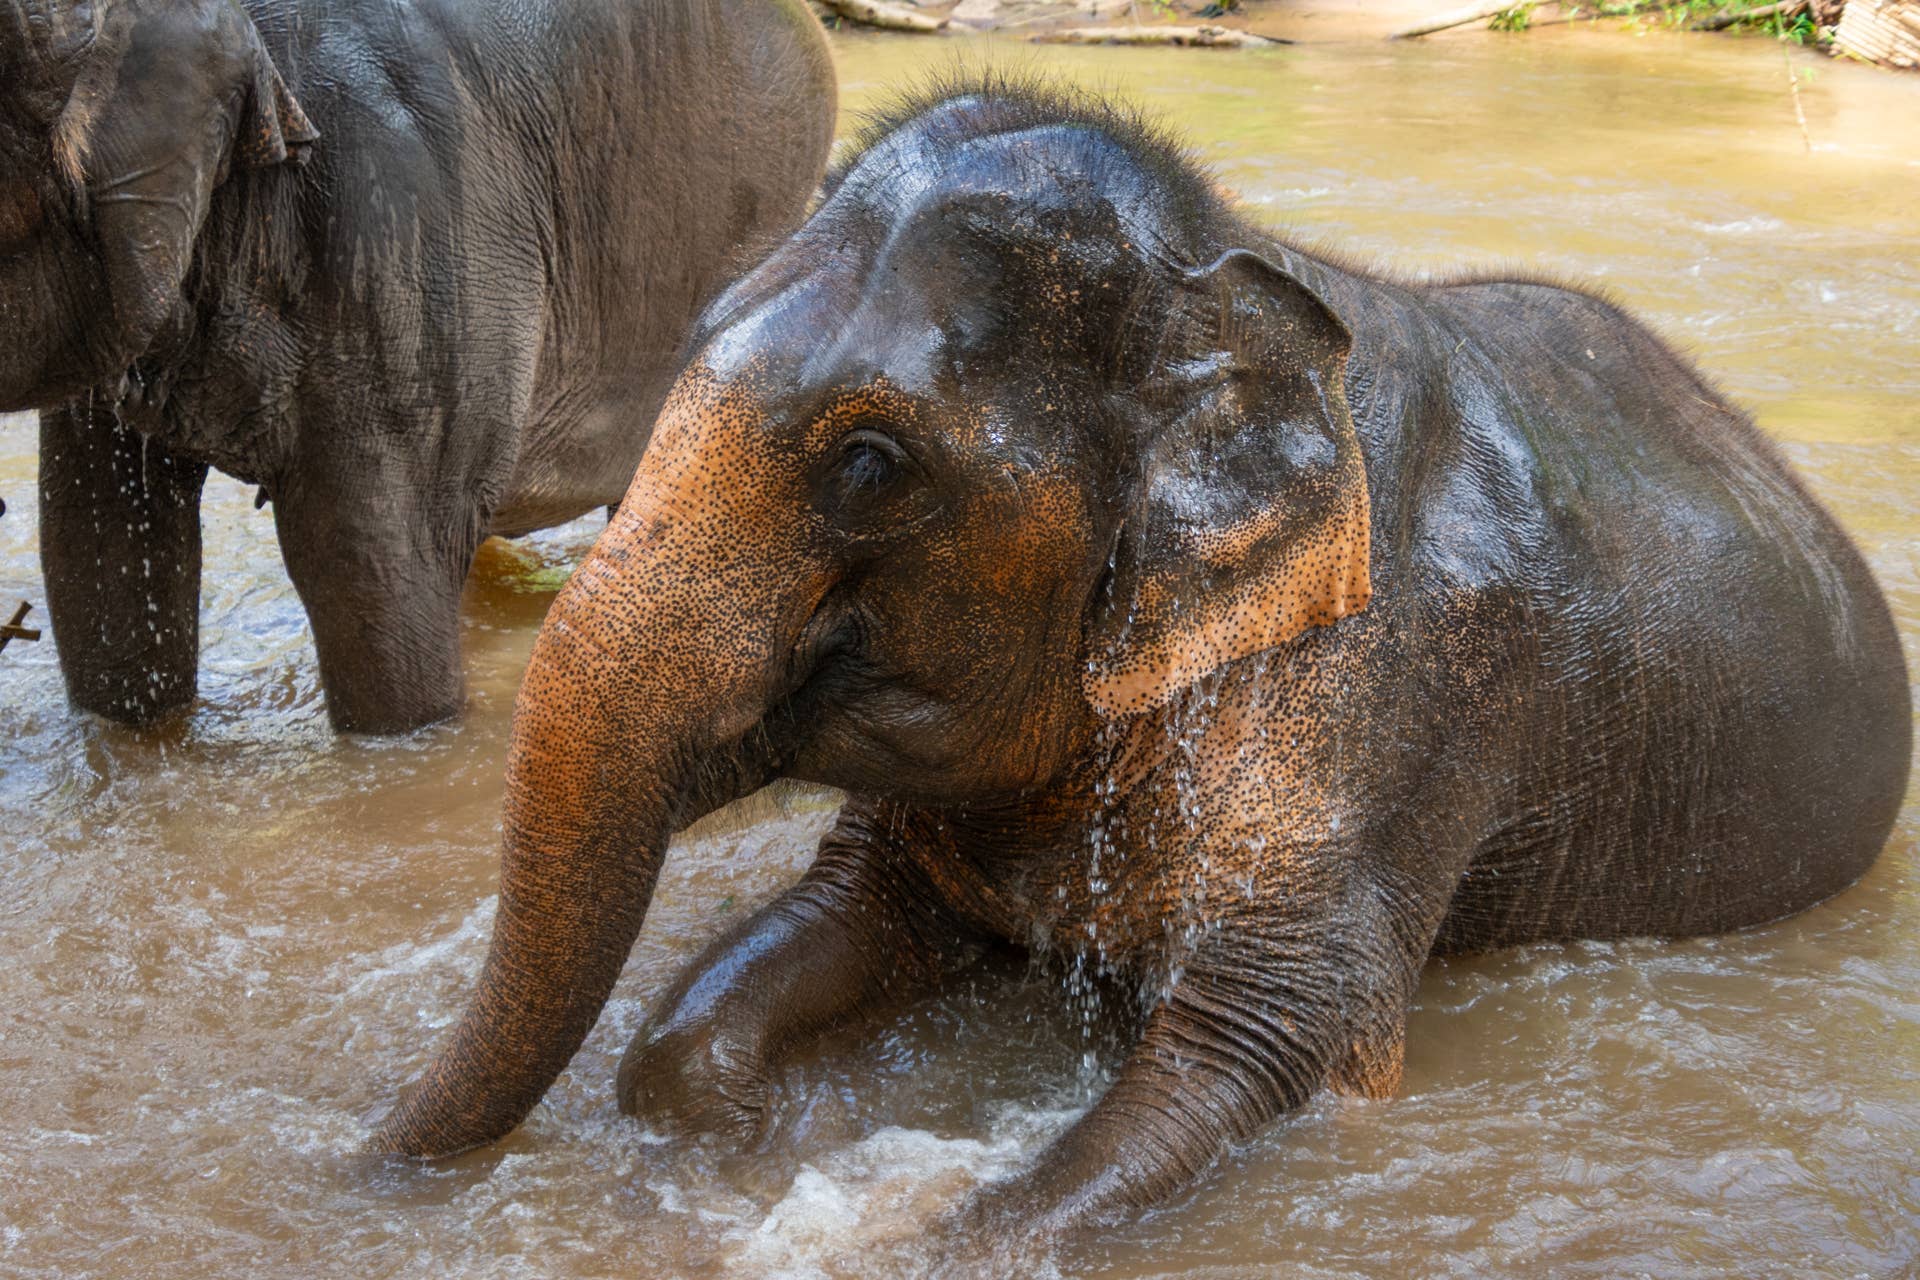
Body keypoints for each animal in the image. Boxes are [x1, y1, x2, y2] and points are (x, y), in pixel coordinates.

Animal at [367, 80, 1913, 1263]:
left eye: (870, 462)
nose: (366, 1168)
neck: (1226, 279)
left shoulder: (1393, 702)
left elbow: (1271, 1037)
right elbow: (854, 909)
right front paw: (749, 1133)